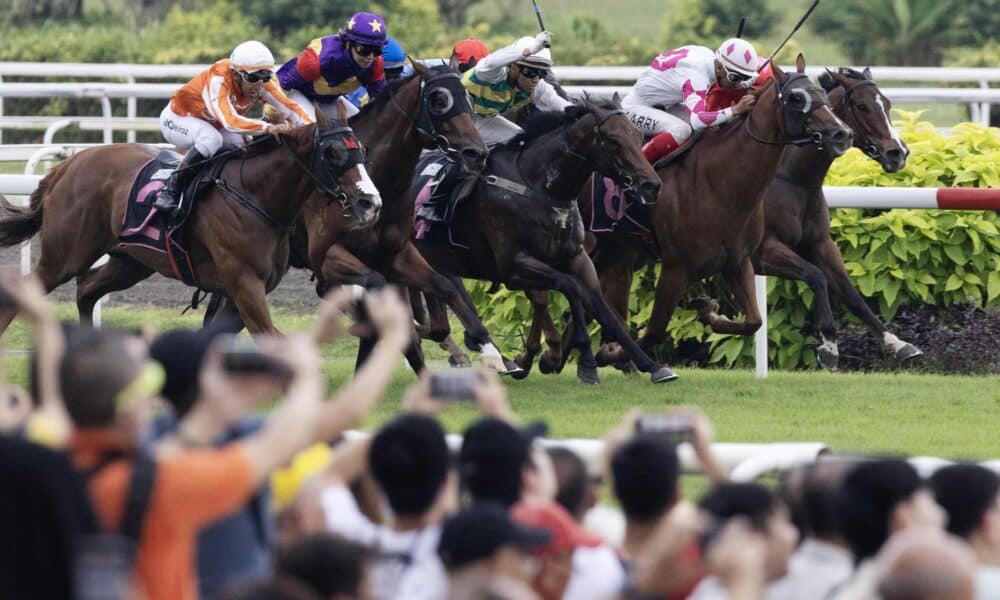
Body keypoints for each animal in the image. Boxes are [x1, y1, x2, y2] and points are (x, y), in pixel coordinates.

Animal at [0, 110, 376, 336]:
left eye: (361, 149)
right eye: (333, 153)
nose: (370, 202)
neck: (255, 194)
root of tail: (68, 165)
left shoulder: (245, 291)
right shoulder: (244, 283)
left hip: (131, 261)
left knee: (86, 290)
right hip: (64, 257)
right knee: (27, 292)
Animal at [410, 99, 676, 384]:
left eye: (637, 136)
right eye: (613, 140)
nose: (651, 185)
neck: (540, 188)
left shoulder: (577, 257)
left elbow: (603, 310)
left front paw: (651, 365)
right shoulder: (514, 266)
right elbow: (570, 288)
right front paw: (586, 363)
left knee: (440, 313)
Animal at [756, 68, 920, 368]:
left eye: (887, 103)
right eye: (862, 106)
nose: (898, 153)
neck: (794, 180)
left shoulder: (820, 243)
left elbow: (850, 293)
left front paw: (897, 343)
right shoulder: (763, 250)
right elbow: (816, 276)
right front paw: (829, 347)